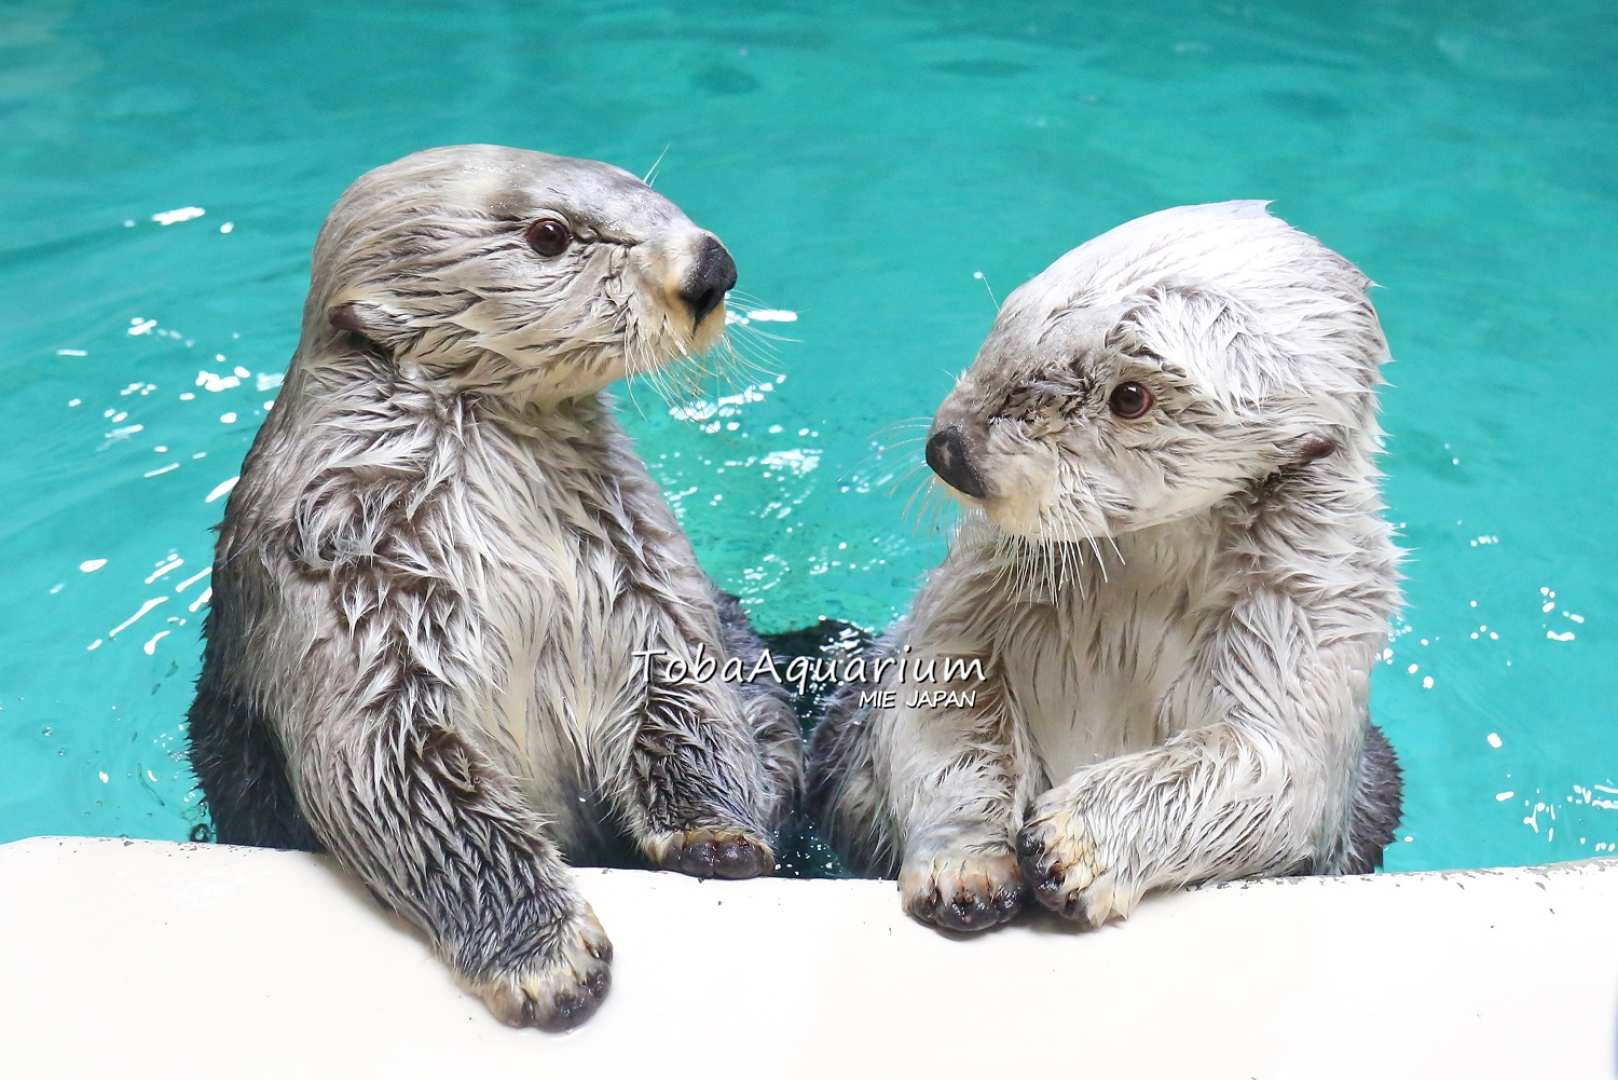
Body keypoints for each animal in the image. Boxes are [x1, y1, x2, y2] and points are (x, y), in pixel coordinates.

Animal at [186, 143, 805, 1029]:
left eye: (648, 192)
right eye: (550, 235)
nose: (710, 267)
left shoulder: (641, 568)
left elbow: (685, 692)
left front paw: (717, 838)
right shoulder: (333, 590)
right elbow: (399, 782)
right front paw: (545, 959)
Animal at [809, 204, 1404, 939]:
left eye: (1130, 398)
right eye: (1007, 325)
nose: (949, 450)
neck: (1145, 575)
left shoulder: (1307, 621)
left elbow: (1270, 766)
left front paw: (1070, 846)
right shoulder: (973, 591)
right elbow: (942, 701)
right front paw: (966, 868)